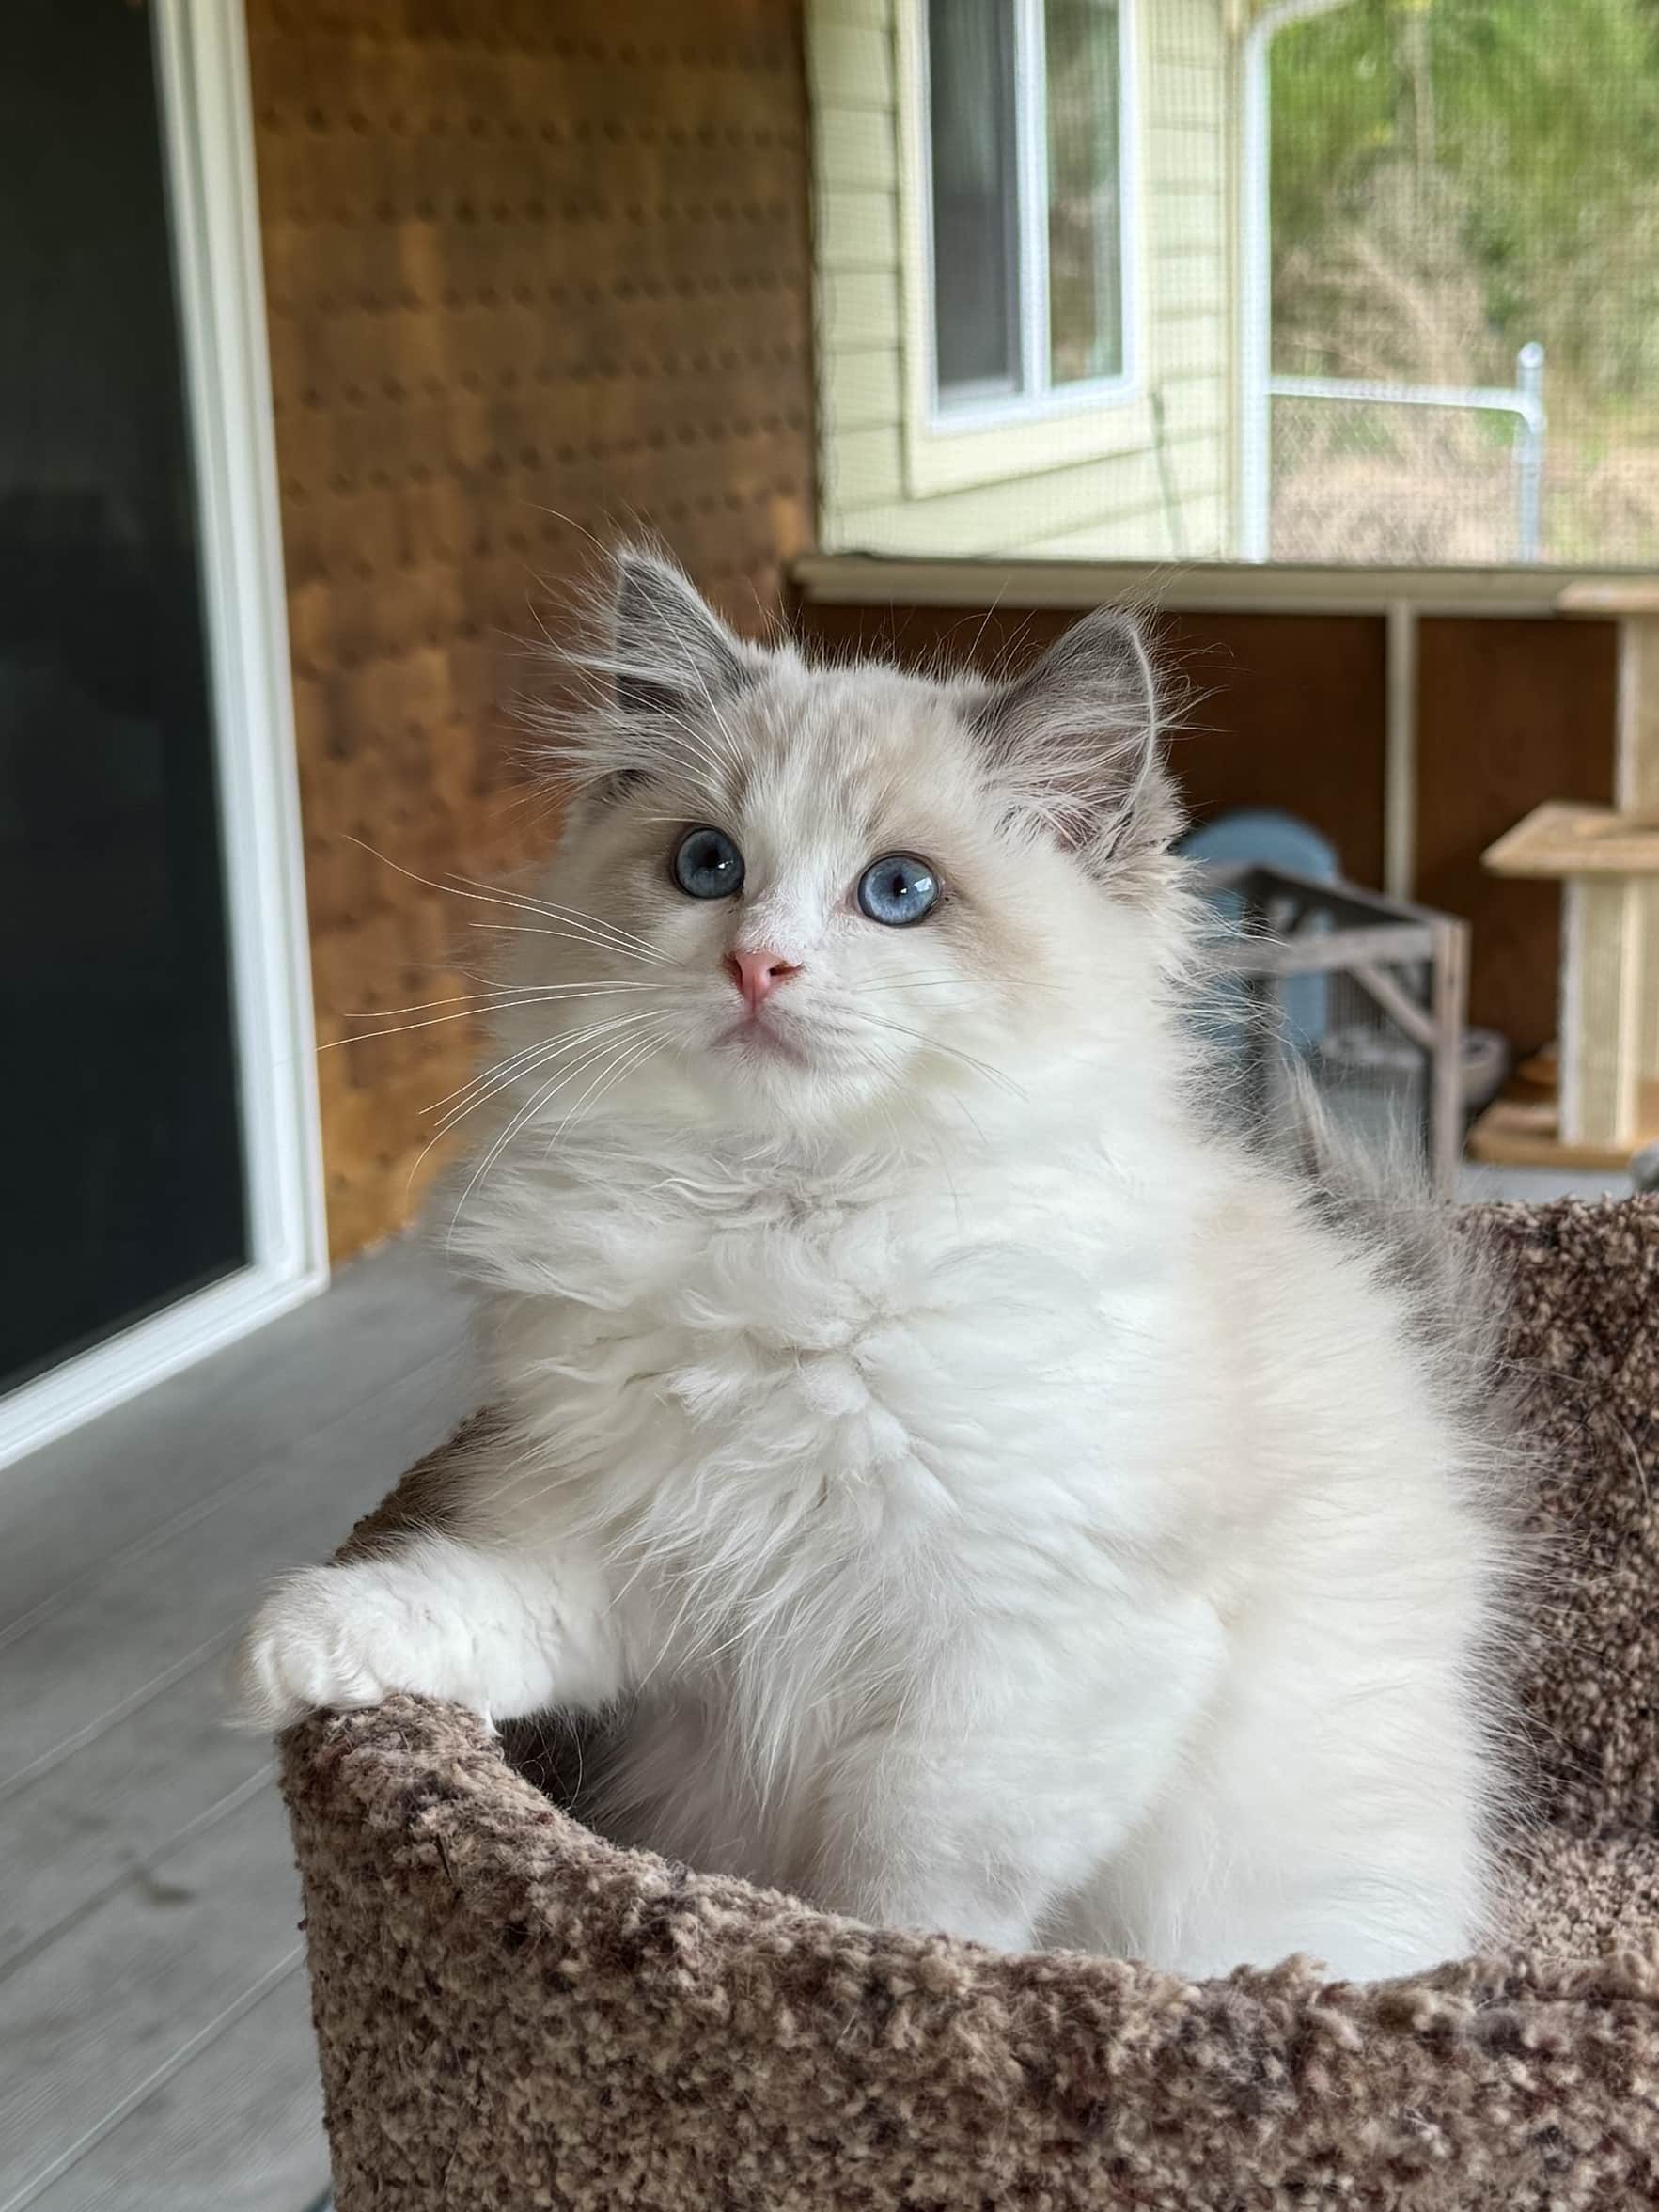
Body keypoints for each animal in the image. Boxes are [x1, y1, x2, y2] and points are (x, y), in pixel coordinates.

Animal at [236, 557, 1522, 1990]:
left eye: (898, 891)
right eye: (706, 866)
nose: (758, 963)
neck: (783, 1233)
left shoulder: (1036, 1652)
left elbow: (917, 1871)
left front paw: (878, 1978)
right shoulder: (645, 1545)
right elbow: (486, 1597)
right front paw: (304, 1646)